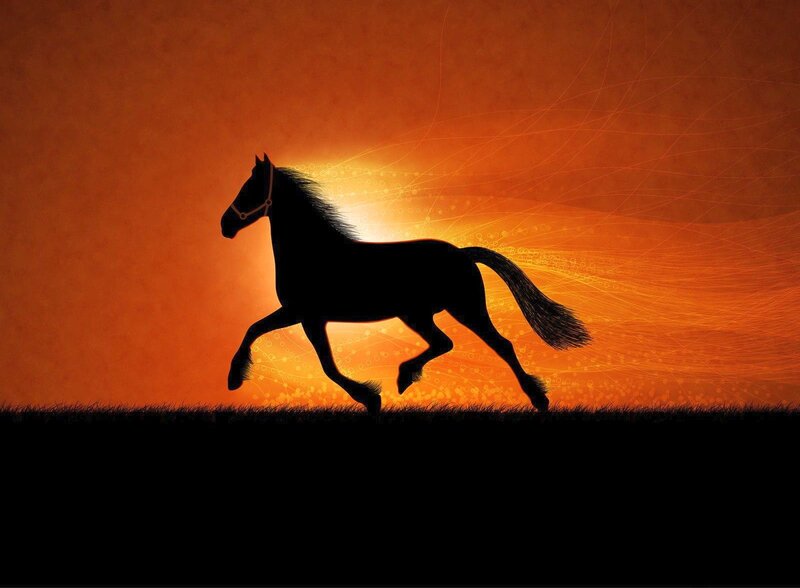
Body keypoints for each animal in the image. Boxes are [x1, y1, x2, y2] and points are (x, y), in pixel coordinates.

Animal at [221, 154, 590, 415]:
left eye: (250, 188)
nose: (225, 225)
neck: (313, 251)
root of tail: (461, 253)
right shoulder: (301, 314)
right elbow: (256, 330)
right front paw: (235, 378)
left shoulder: (306, 315)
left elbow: (324, 364)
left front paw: (370, 398)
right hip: (419, 314)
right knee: (445, 343)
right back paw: (406, 376)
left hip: (461, 309)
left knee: (500, 345)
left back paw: (538, 399)